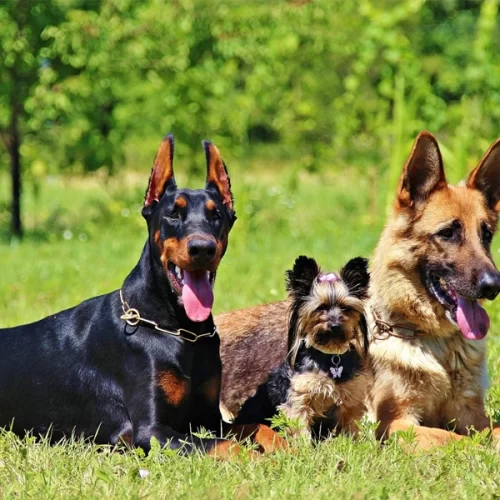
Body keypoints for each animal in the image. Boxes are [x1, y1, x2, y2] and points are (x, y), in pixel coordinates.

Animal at [232, 256, 370, 440]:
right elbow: (301, 428)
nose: (335, 325)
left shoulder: (351, 399)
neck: (331, 356)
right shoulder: (298, 398)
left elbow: (350, 427)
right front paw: (304, 446)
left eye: (346, 308)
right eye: (320, 308)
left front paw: (352, 443)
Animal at [368, 132, 500, 450]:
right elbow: (454, 439)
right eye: (448, 233)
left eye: (486, 234)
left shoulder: (473, 416)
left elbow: (493, 430)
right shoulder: (396, 424)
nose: (494, 286)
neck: (436, 343)